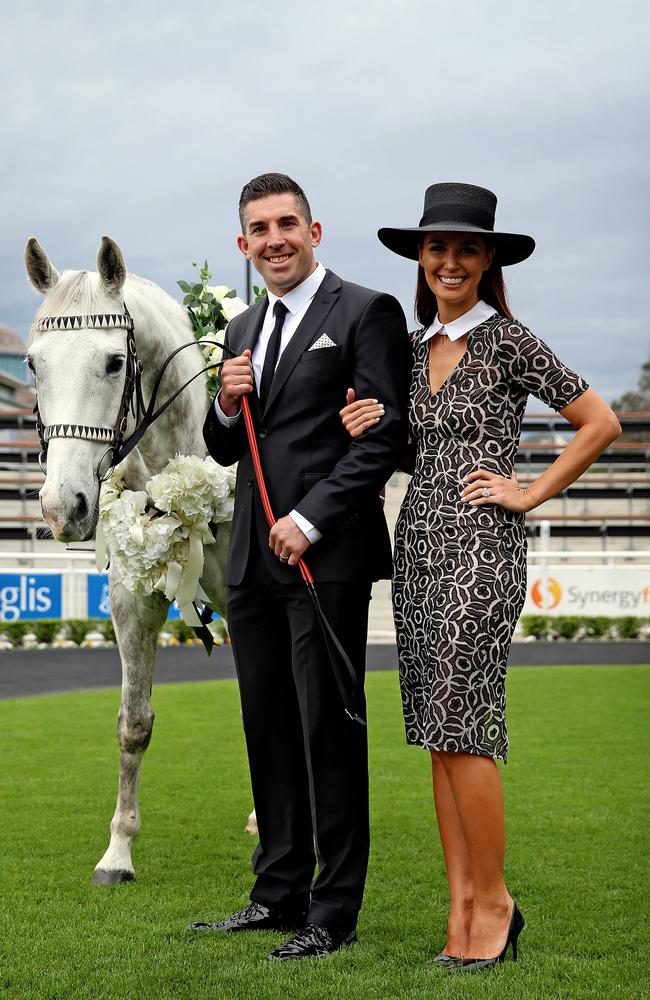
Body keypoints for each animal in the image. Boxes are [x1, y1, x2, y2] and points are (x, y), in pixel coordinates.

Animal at [24, 236, 230, 884]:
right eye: (33, 364)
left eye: (116, 362)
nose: (62, 506)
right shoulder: (131, 602)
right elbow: (133, 723)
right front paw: (118, 852)